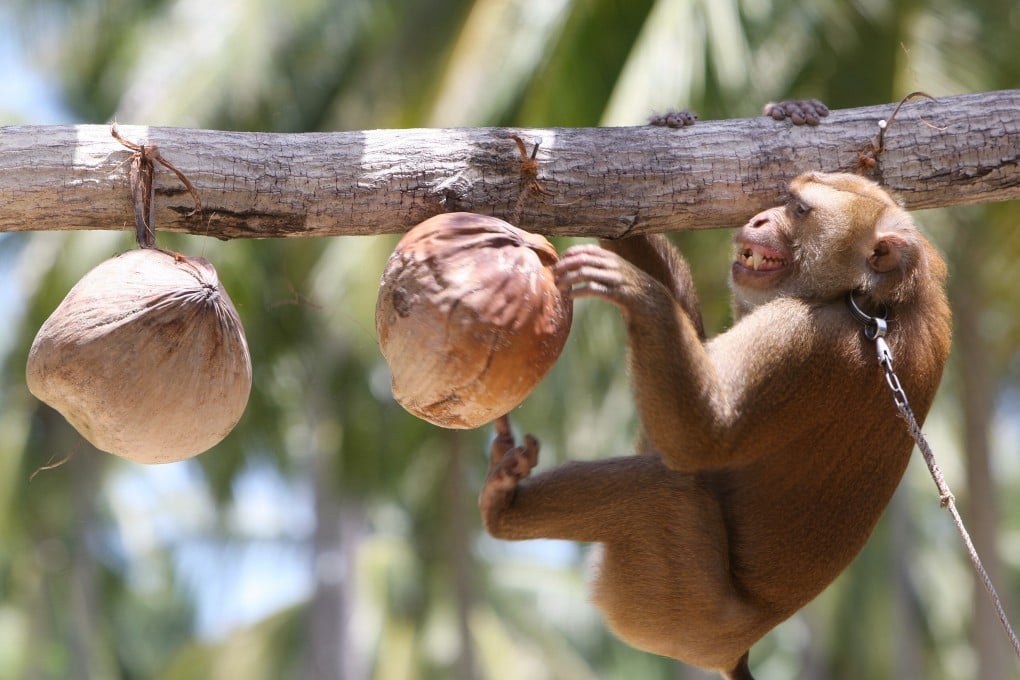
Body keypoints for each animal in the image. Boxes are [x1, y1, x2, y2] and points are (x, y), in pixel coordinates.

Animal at [479, 172, 952, 679]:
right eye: (785, 198)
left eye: (798, 209)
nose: (759, 219)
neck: (875, 304)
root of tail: (735, 650)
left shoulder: (803, 334)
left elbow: (703, 436)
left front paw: (638, 292)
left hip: (674, 605)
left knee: (664, 486)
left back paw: (503, 511)